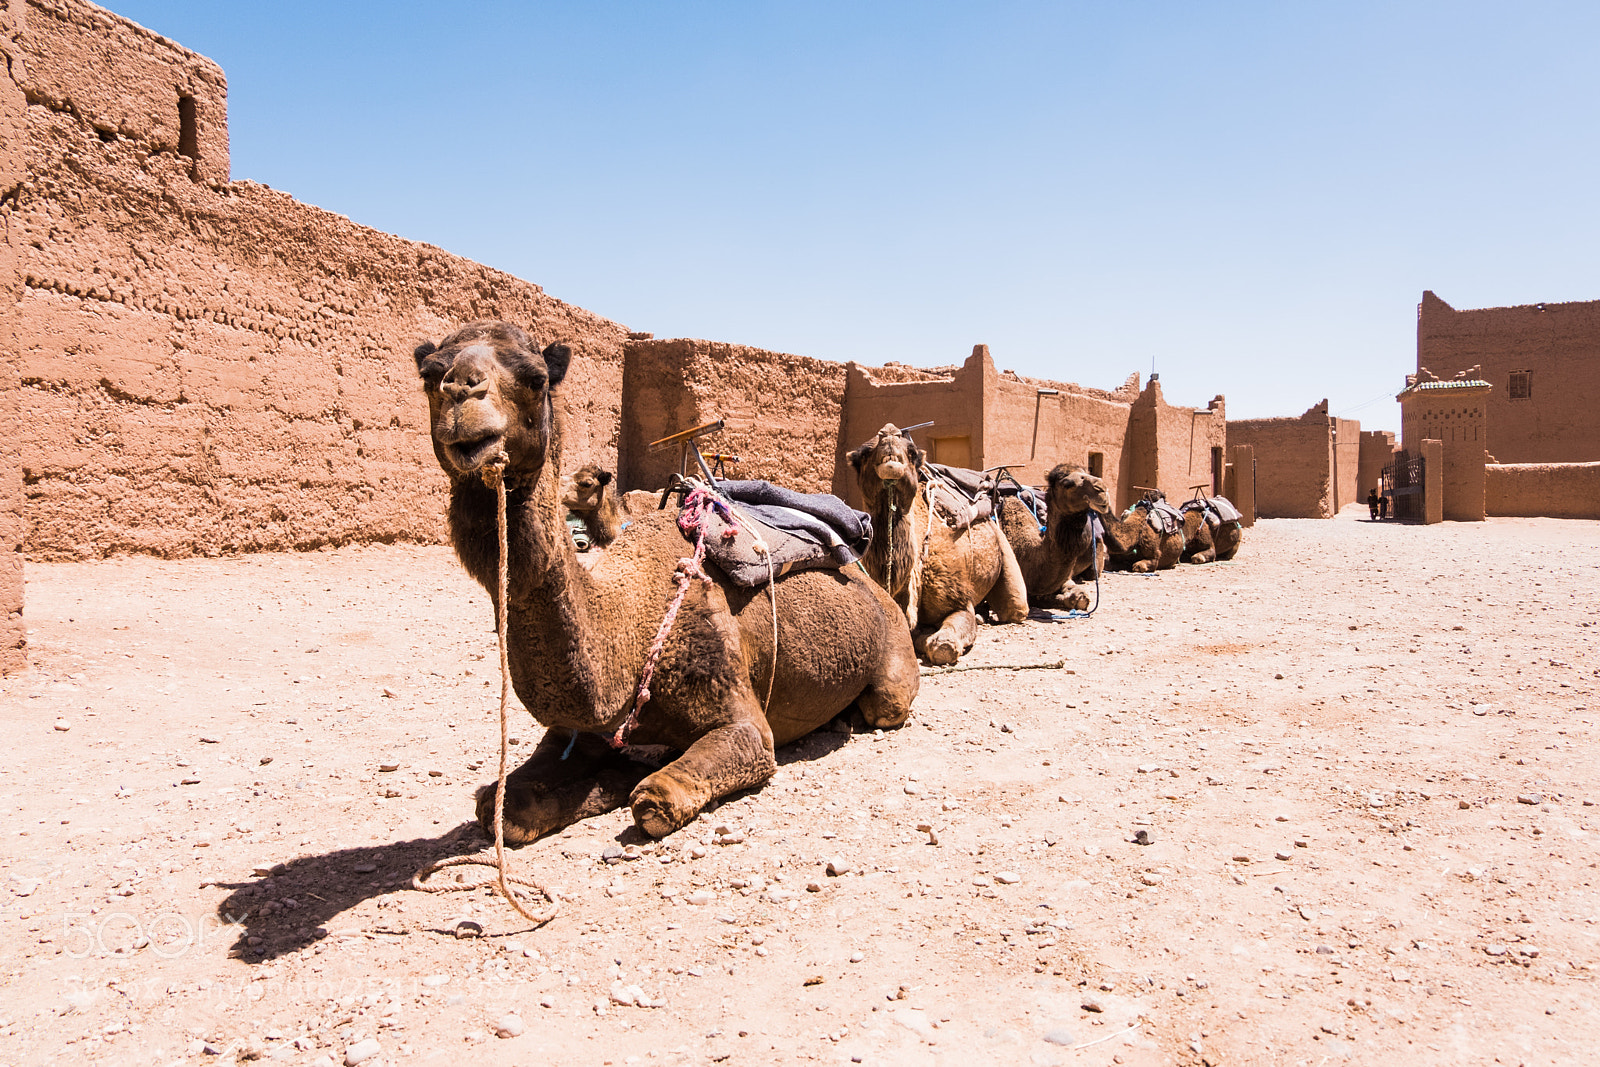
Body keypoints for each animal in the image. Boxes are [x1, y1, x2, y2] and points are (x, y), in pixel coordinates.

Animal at [415, 321, 919, 841]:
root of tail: (871, 583)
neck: (629, 625)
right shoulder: (577, 731)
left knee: (884, 702)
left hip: (892, 652)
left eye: (536, 379)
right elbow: (504, 809)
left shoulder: (742, 719)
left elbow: (656, 800)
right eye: (429, 374)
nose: (461, 394)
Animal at [848, 425, 1028, 665]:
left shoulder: (956, 599)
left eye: (912, 452)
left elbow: (945, 643)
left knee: (1014, 608)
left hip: (1003, 545)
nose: (889, 434)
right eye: (864, 453)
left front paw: (934, 639)